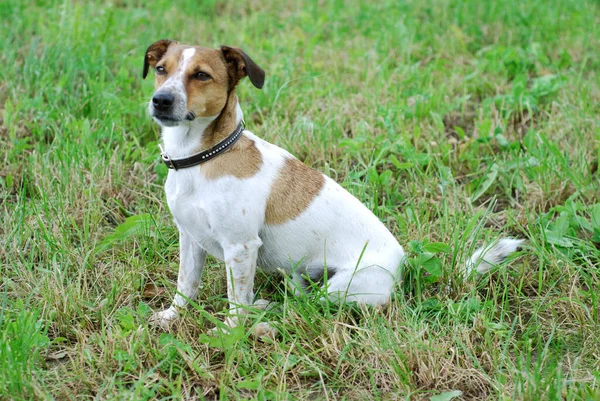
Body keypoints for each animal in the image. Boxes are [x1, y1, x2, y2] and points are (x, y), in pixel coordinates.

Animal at [143, 39, 524, 328]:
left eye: (201, 75)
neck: (202, 158)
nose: (161, 100)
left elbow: (236, 303)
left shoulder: (240, 248)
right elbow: (186, 284)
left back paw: (266, 313)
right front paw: (172, 316)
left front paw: (228, 333)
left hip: (342, 287)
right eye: (161, 69)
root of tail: (405, 267)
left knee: (308, 305)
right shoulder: (190, 238)